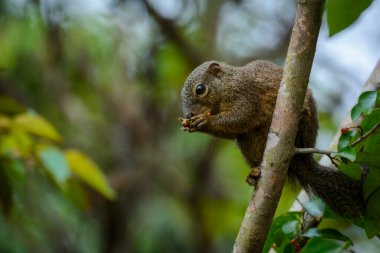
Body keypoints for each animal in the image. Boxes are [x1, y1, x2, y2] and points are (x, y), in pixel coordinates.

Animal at [181, 60, 366, 217]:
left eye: (200, 89)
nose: (189, 115)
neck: (227, 84)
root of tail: (302, 161)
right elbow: (233, 130)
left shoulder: (246, 94)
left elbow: (243, 116)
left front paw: (204, 122)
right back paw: (254, 174)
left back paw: (301, 116)